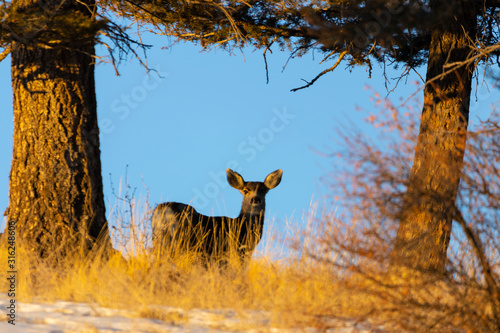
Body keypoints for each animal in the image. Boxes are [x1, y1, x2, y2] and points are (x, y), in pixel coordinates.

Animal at [150, 169, 284, 262]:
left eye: (263, 190)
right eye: (245, 191)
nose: (255, 199)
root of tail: (163, 209)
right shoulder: (233, 252)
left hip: (158, 240)